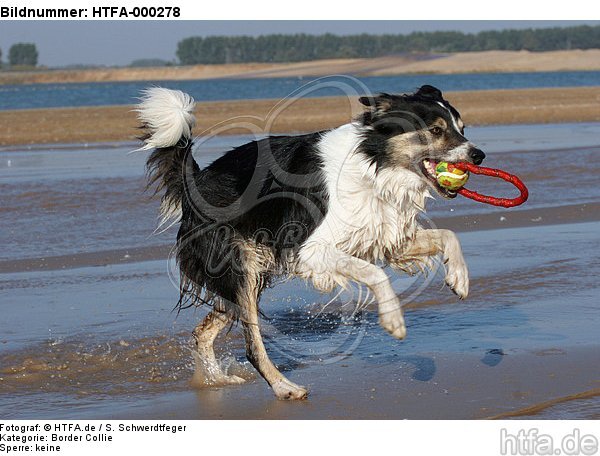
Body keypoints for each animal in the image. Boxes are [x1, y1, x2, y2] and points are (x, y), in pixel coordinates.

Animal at [138, 84, 486, 400]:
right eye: (436, 130)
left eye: (462, 128)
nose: (479, 155)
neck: (373, 164)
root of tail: (193, 183)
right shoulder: (309, 250)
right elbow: (375, 273)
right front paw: (393, 320)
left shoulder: (384, 234)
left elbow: (449, 236)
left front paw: (460, 279)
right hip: (240, 268)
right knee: (251, 345)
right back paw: (284, 388)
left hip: (249, 272)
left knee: (203, 332)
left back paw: (216, 380)